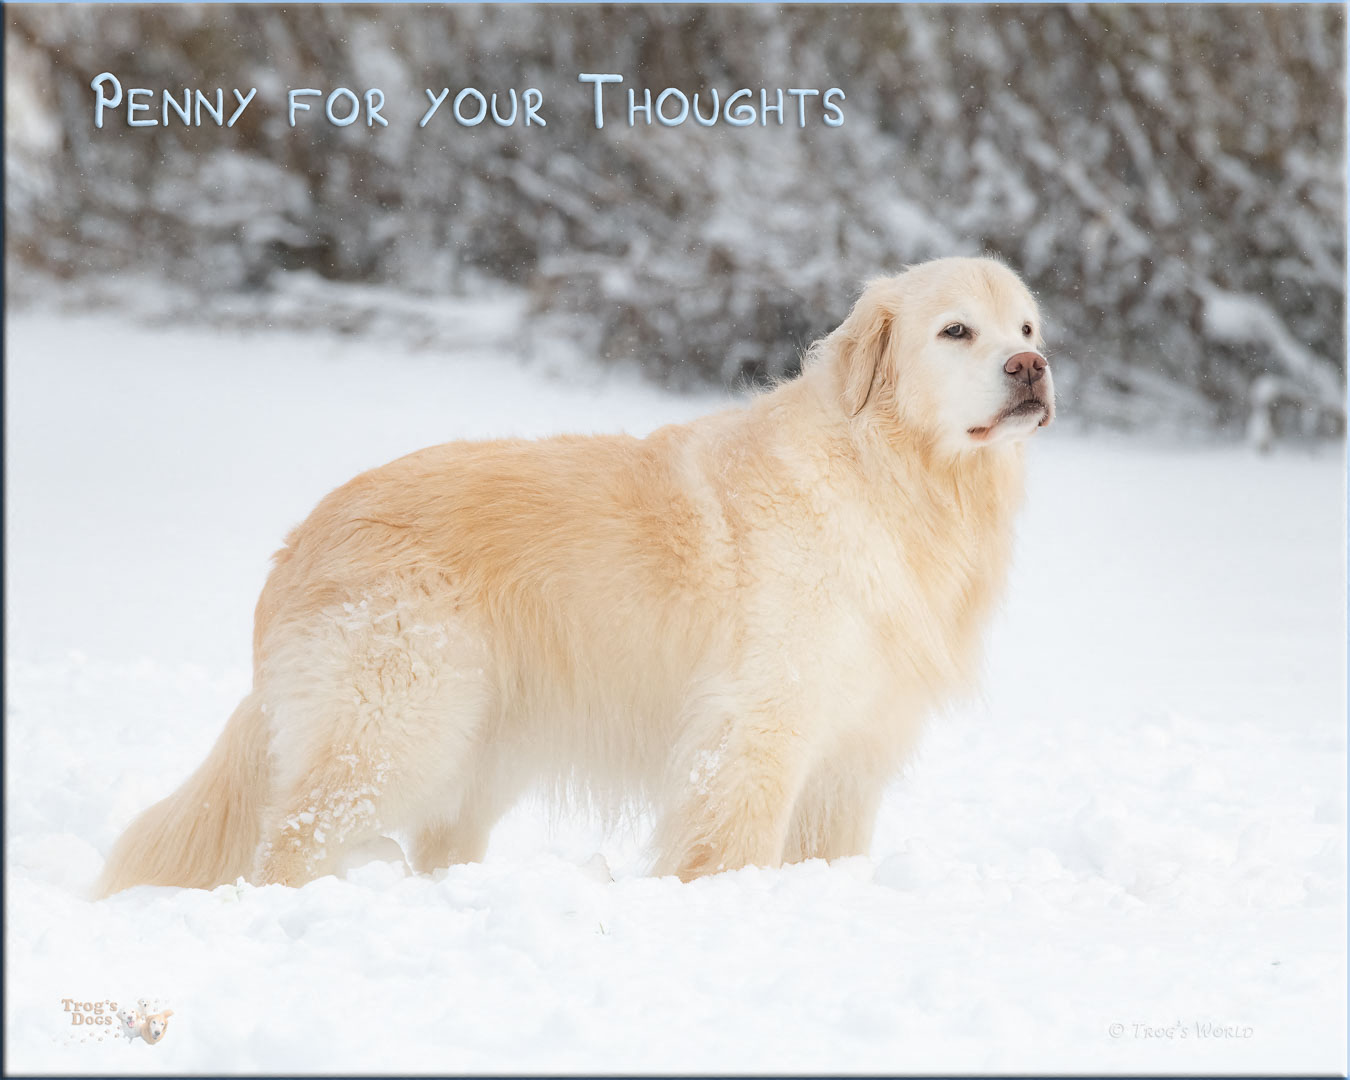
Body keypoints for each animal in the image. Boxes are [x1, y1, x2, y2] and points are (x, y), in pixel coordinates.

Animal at [97, 255, 1053, 896]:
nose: (1032, 369)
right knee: (290, 840)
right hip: (396, 727)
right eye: (956, 331)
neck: (896, 476)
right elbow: (730, 849)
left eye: (1027, 329)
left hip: (476, 751)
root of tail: (299, 541)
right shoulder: (755, 733)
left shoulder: (853, 754)